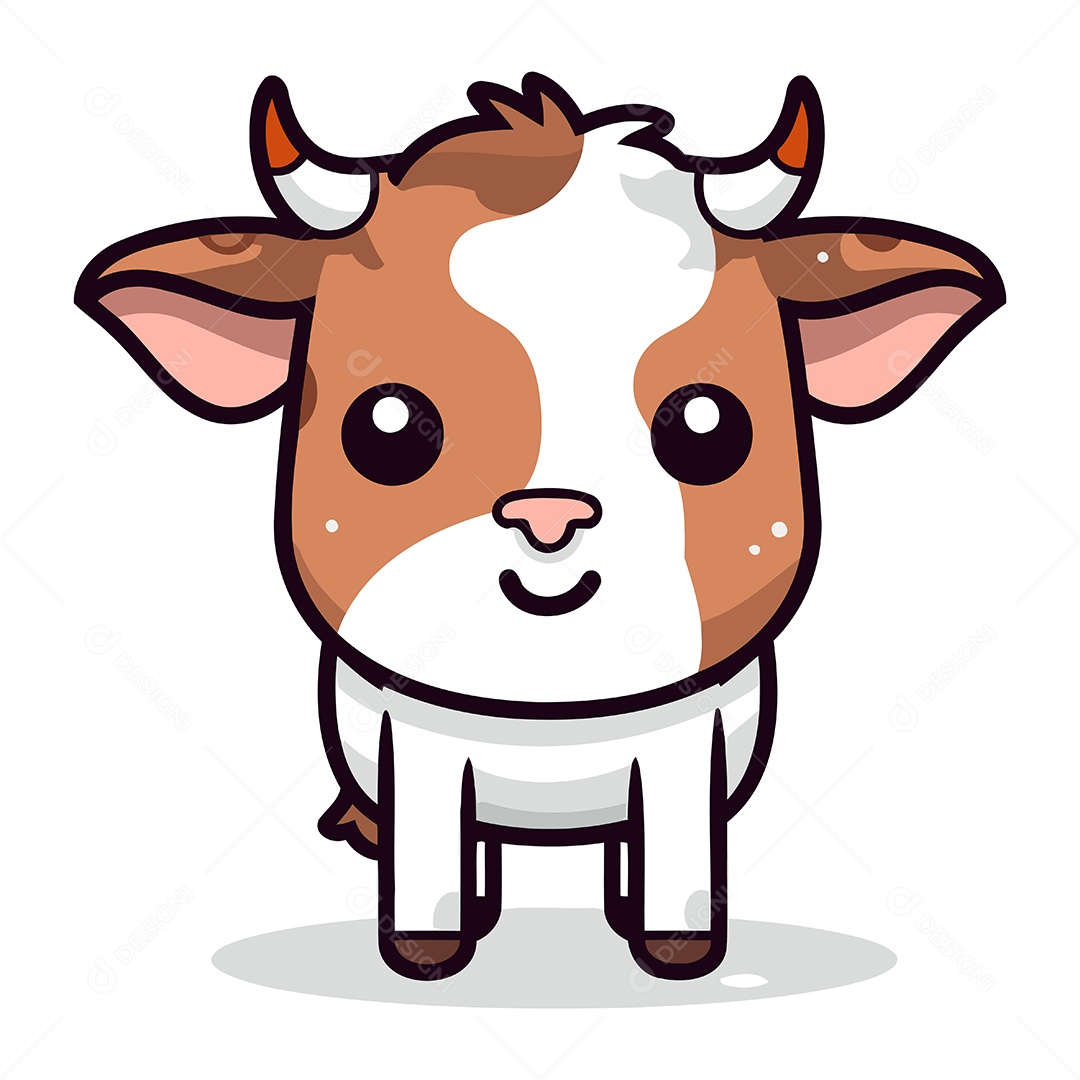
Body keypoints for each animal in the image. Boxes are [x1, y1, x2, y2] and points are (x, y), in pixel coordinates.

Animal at [75, 73, 1004, 981]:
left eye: (708, 427)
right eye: (385, 428)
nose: (548, 513)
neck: (548, 715)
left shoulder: (683, 754)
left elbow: (675, 861)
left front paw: (676, 952)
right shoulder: (419, 753)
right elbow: (430, 864)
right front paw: (427, 952)